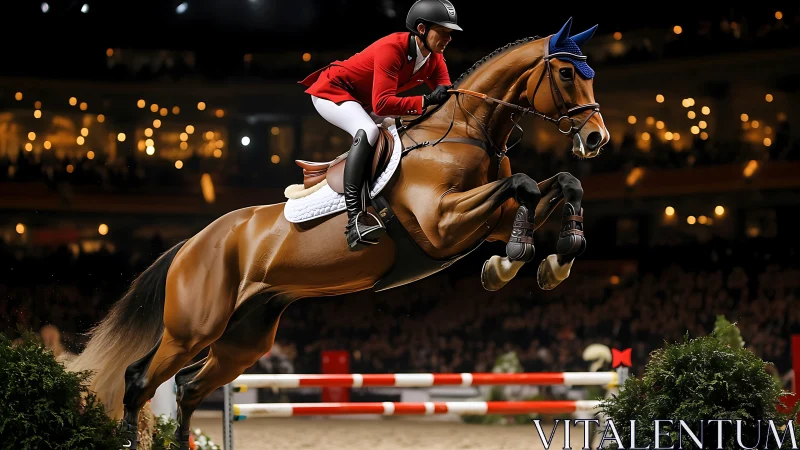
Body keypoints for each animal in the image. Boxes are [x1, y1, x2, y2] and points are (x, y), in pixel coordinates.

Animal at [66, 17, 609, 449]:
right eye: (565, 73)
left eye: (589, 74)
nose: (596, 138)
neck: (465, 132)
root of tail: (191, 243)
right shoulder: (441, 225)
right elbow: (524, 186)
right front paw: (515, 257)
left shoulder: (486, 219)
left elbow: (560, 184)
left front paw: (551, 259)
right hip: (193, 328)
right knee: (140, 381)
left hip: (243, 339)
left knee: (188, 388)